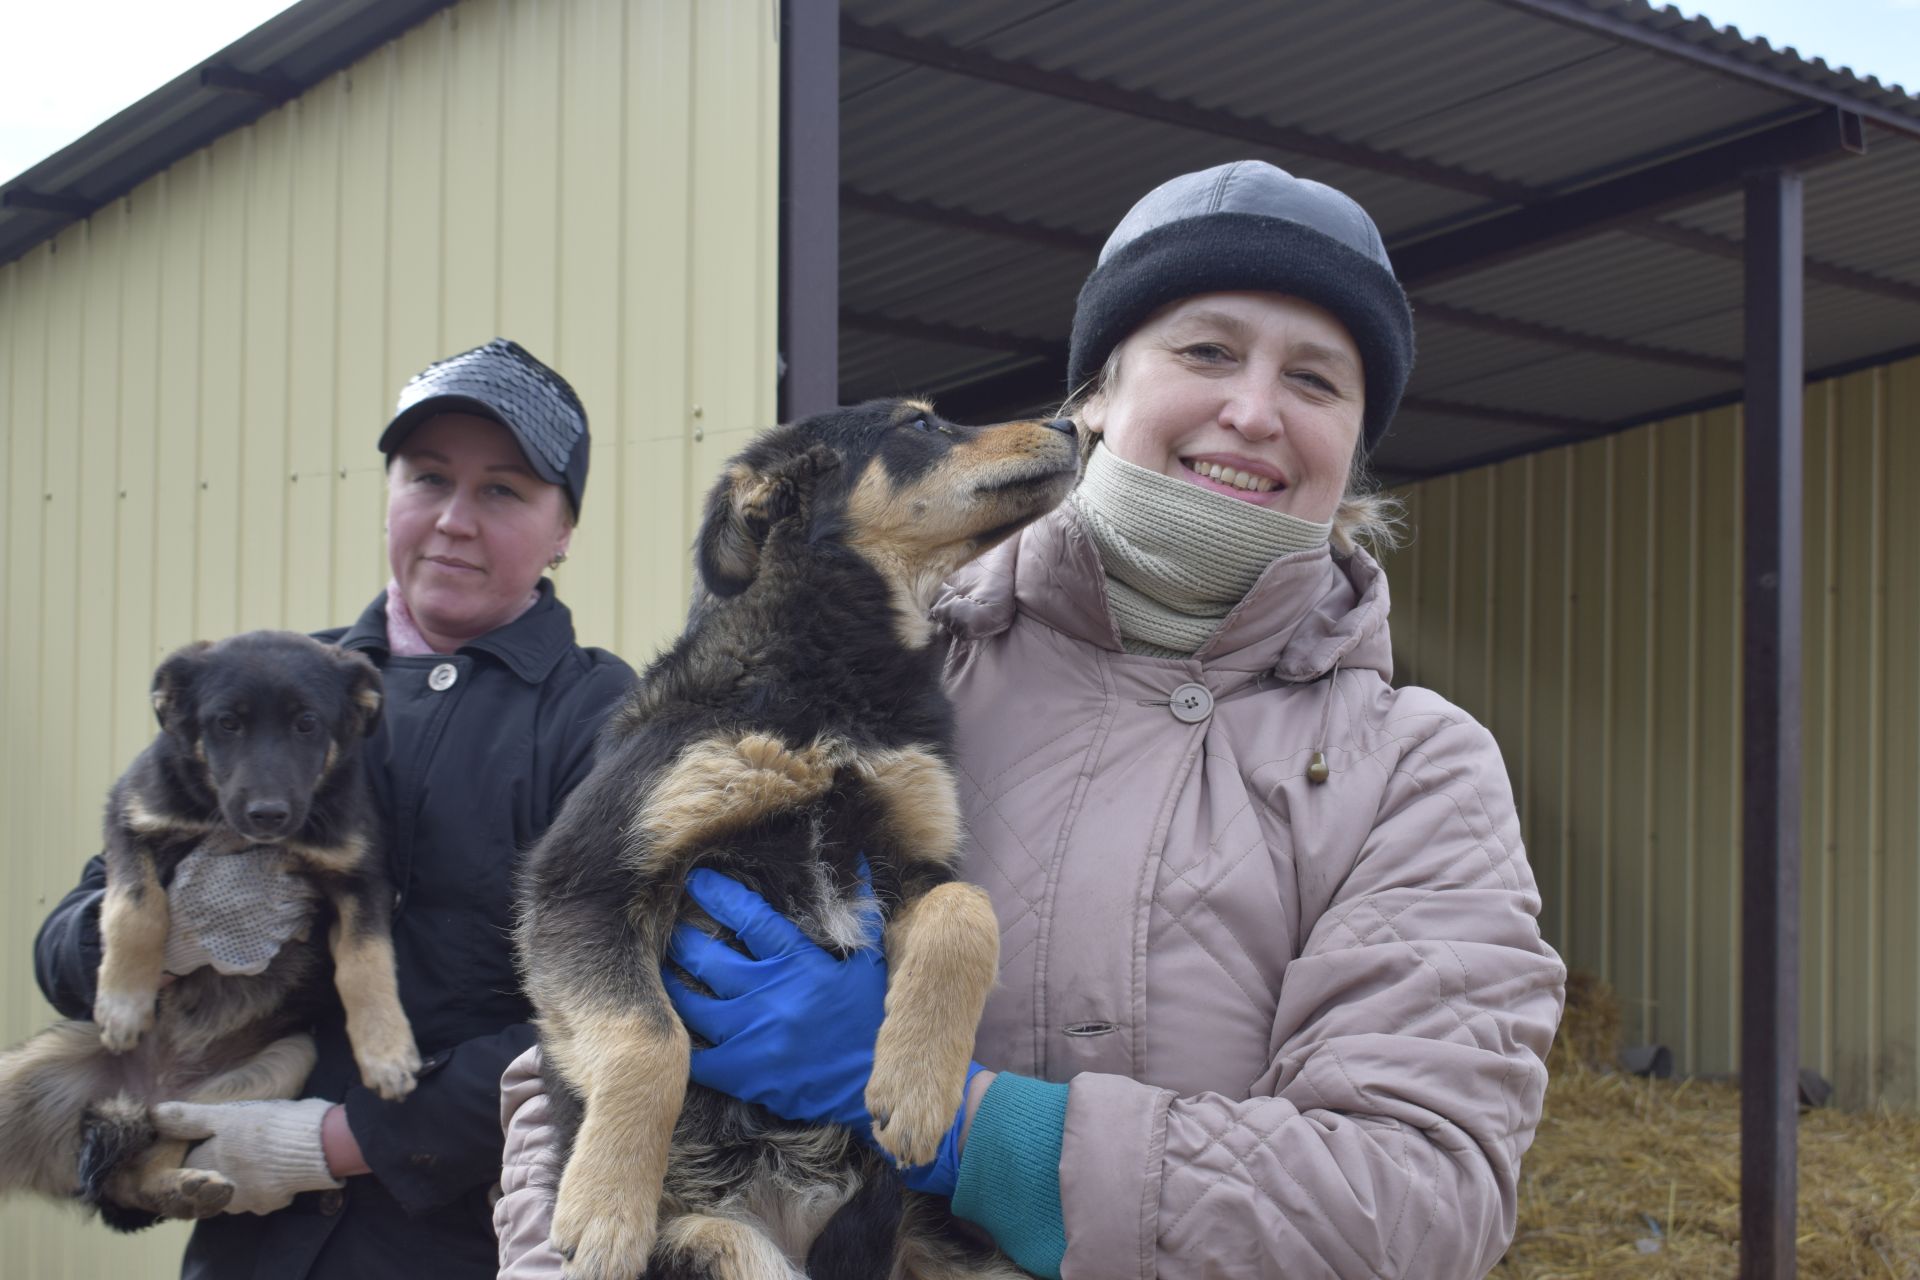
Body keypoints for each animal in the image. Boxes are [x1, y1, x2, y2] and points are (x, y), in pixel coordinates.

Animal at [0, 629, 418, 1228]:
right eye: (227, 723)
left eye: (307, 723)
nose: (268, 815)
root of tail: (146, 1087)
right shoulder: (130, 821)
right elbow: (137, 907)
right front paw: (124, 1002)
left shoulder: (360, 880)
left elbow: (367, 964)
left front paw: (386, 1052)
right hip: (21, 1073)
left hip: (270, 1070)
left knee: (148, 1158)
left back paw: (184, 1187)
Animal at [514, 401, 1082, 1280]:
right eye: (921, 425)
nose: (1073, 424)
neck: (839, 682)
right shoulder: (580, 882)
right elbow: (650, 1038)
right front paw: (606, 1210)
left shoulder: (912, 854)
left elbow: (965, 908)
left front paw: (918, 1091)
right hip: (717, 1242)